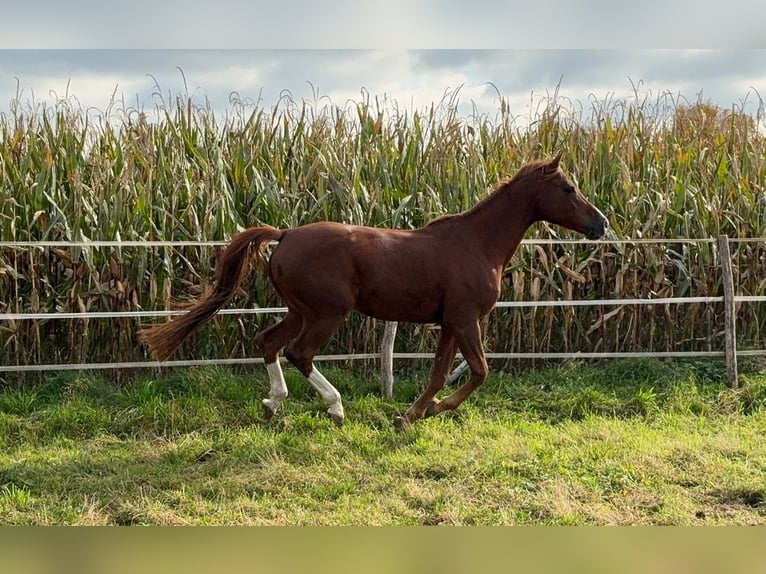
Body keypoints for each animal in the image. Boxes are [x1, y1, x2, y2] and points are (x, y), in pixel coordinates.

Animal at [139, 152, 608, 430]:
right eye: (568, 188)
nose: (600, 224)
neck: (477, 244)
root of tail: (285, 235)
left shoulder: (449, 323)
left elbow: (439, 372)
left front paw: (413, 414)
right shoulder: (465, 319)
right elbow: (479, 371)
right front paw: (429, 411)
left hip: (299, 310)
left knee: (268, 341)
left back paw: (274, 404)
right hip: (327, 313)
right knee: (299, 353)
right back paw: (335, 407)